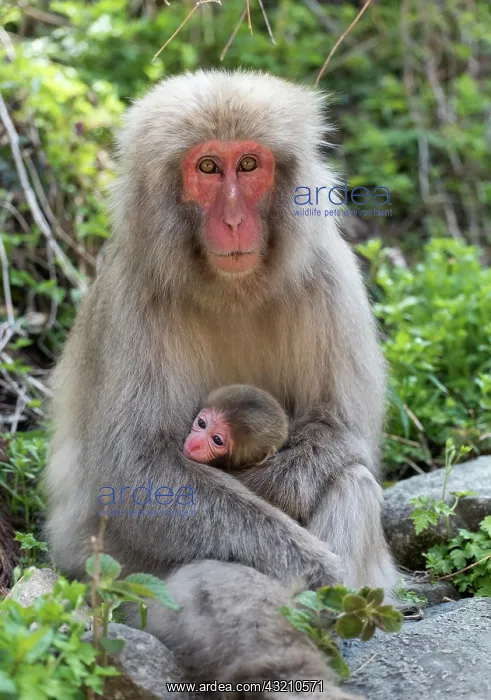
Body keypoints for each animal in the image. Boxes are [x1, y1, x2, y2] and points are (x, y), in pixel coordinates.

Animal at [45, 69, 397, 695]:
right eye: (208, 168)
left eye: (249, 165)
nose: (233, 220)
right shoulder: (134, 294)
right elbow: (136, 475)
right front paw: (317, 571)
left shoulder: (329, 273)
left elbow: (341, 430)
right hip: (113, 579)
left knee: (350, 480)